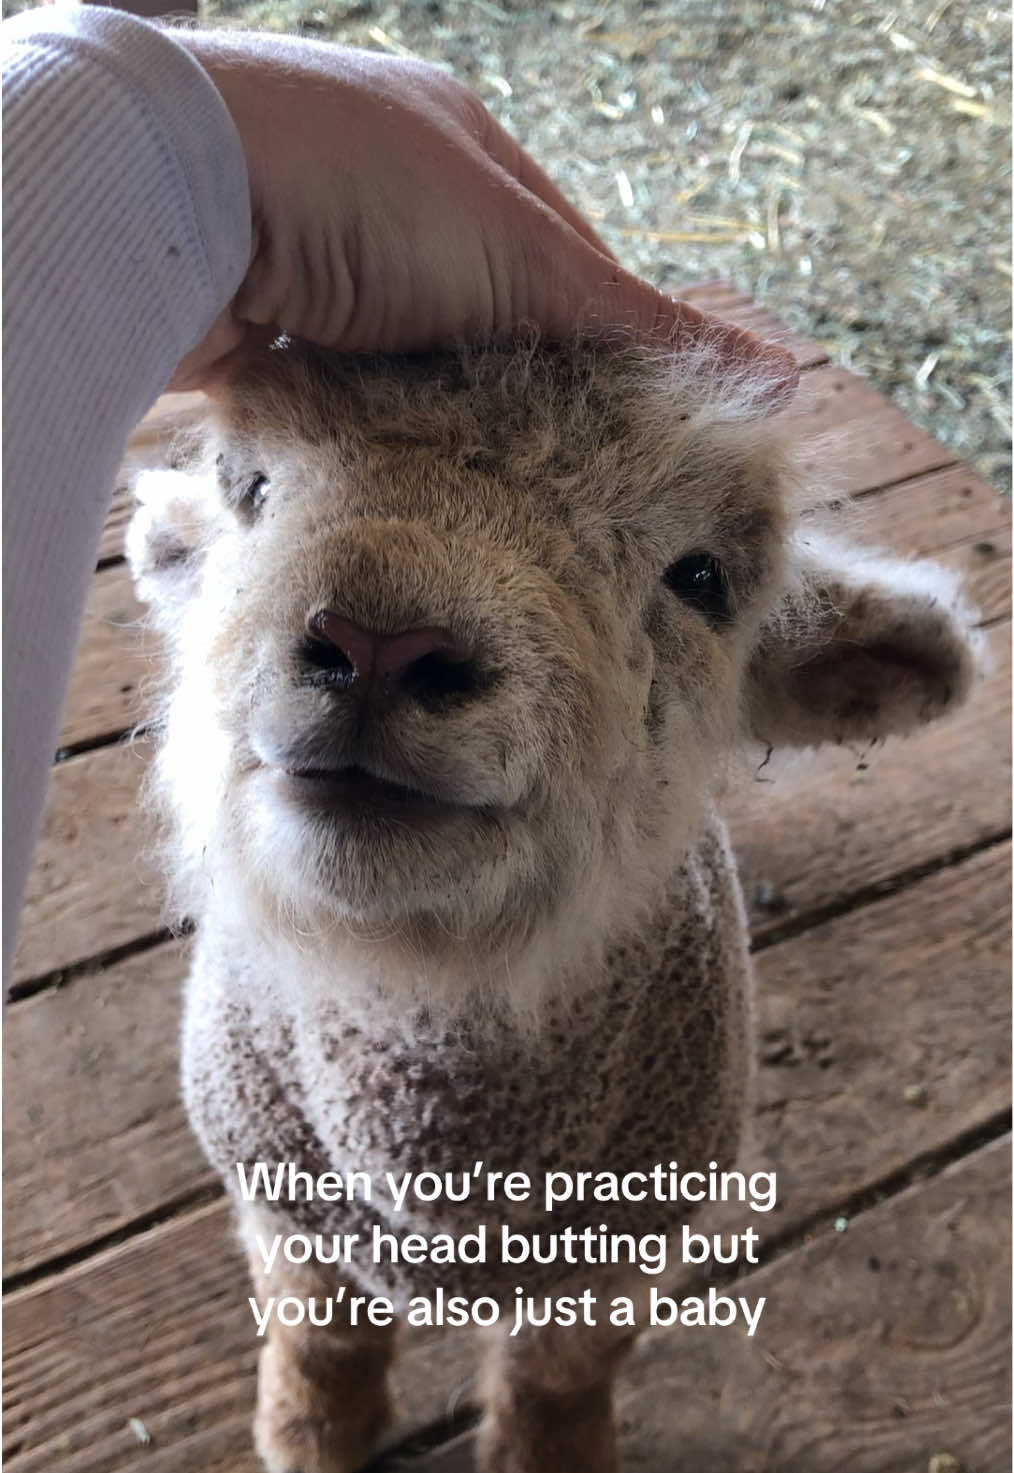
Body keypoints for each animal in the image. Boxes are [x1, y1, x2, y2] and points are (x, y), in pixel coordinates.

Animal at [128, 335, 978, 1473]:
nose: (379, 639)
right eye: (255, 492)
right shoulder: (283, 1204)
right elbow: (320, 1340)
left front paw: (548, 1451)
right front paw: (310, 1436)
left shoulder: (621, 1247)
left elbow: (558, 1375)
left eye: (701, 577)